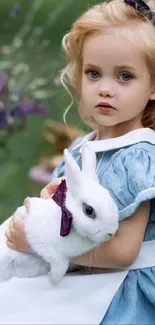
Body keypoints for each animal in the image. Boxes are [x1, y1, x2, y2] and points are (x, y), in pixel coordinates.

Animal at [0, 145, 118, 284]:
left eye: (110, 198)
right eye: (89, 210)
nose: (111, 233)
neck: (67, 219)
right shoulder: (44, 244)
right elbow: (60, 263)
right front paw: (54, 279)